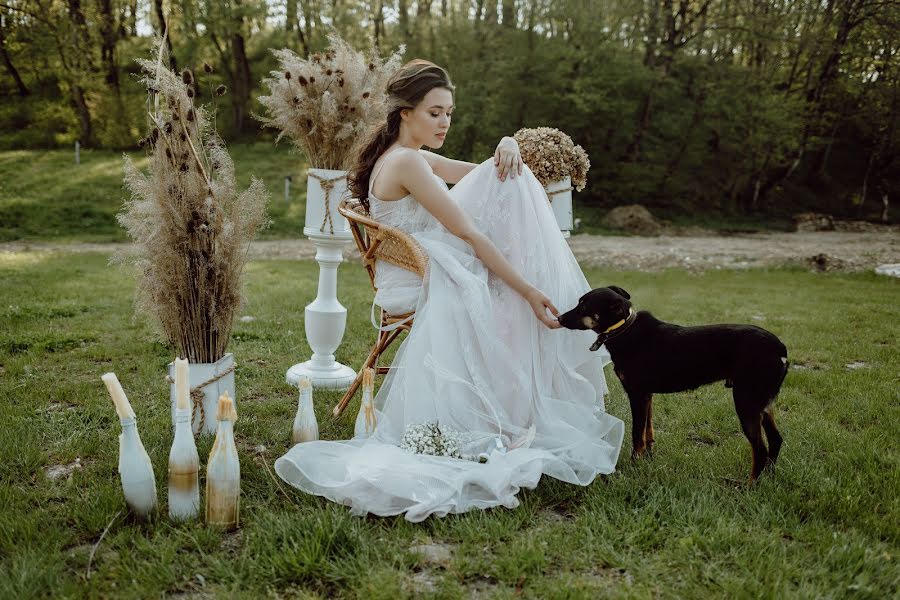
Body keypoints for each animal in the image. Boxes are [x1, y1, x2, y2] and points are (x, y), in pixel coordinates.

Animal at [556, 286, 788, 482]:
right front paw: (648, 458)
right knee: (775, 440)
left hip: (746, 402)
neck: (624, 330)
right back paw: (768, 476)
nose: (558, 317)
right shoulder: (647, 395)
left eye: (584, 307)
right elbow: (647, 430)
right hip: (762, 403)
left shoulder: (636, 394)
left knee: (760, 449)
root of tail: (781, 350)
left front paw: (634, 465)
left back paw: (749, 485)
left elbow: (636, 434)